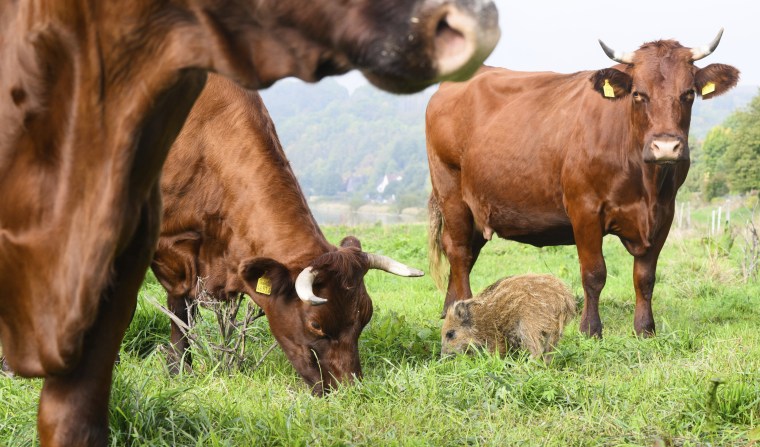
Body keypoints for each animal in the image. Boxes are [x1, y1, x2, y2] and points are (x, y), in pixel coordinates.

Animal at [430, 30, 740, 340]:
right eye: (638, 94)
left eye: (688, 94)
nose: (666, 147)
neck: (645, 184)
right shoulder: (585, 210)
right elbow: (594, 273)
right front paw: (590, 328)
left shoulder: (664, 214)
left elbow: (645, 277)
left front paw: (645, 328)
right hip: (451, 191)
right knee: (458, 251)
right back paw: (464, 312)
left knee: (464, 251)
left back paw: (450, 308)